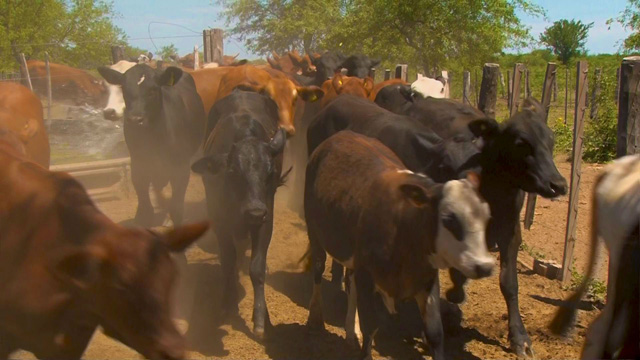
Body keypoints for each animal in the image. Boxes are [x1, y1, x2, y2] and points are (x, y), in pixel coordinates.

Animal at [98, 64, 205, 226]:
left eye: (153, 90)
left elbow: (176, 206)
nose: (135, 120)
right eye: (124, 89)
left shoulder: (181, 167)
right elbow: (144, 206)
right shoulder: (139, 164)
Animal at [190, 89, 288, 338]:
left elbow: (257, 267)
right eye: (233, 172)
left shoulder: (266, 217)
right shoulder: (219, 219)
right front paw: (227, 303)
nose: (254, 211)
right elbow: (227, 261)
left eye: (270, 172)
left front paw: (261, 318)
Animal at [302, 130, 492, 360]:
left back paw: (350, 332)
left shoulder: (426, 281)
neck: (405, 224)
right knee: (318, 269)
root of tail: (339, 136)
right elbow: (370, 325)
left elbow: (435, 334)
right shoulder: (367, 277)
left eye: (486, 216)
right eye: (449, 219)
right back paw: (315, 317)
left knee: (350, 283)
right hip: (315, 233)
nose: (484, 266)